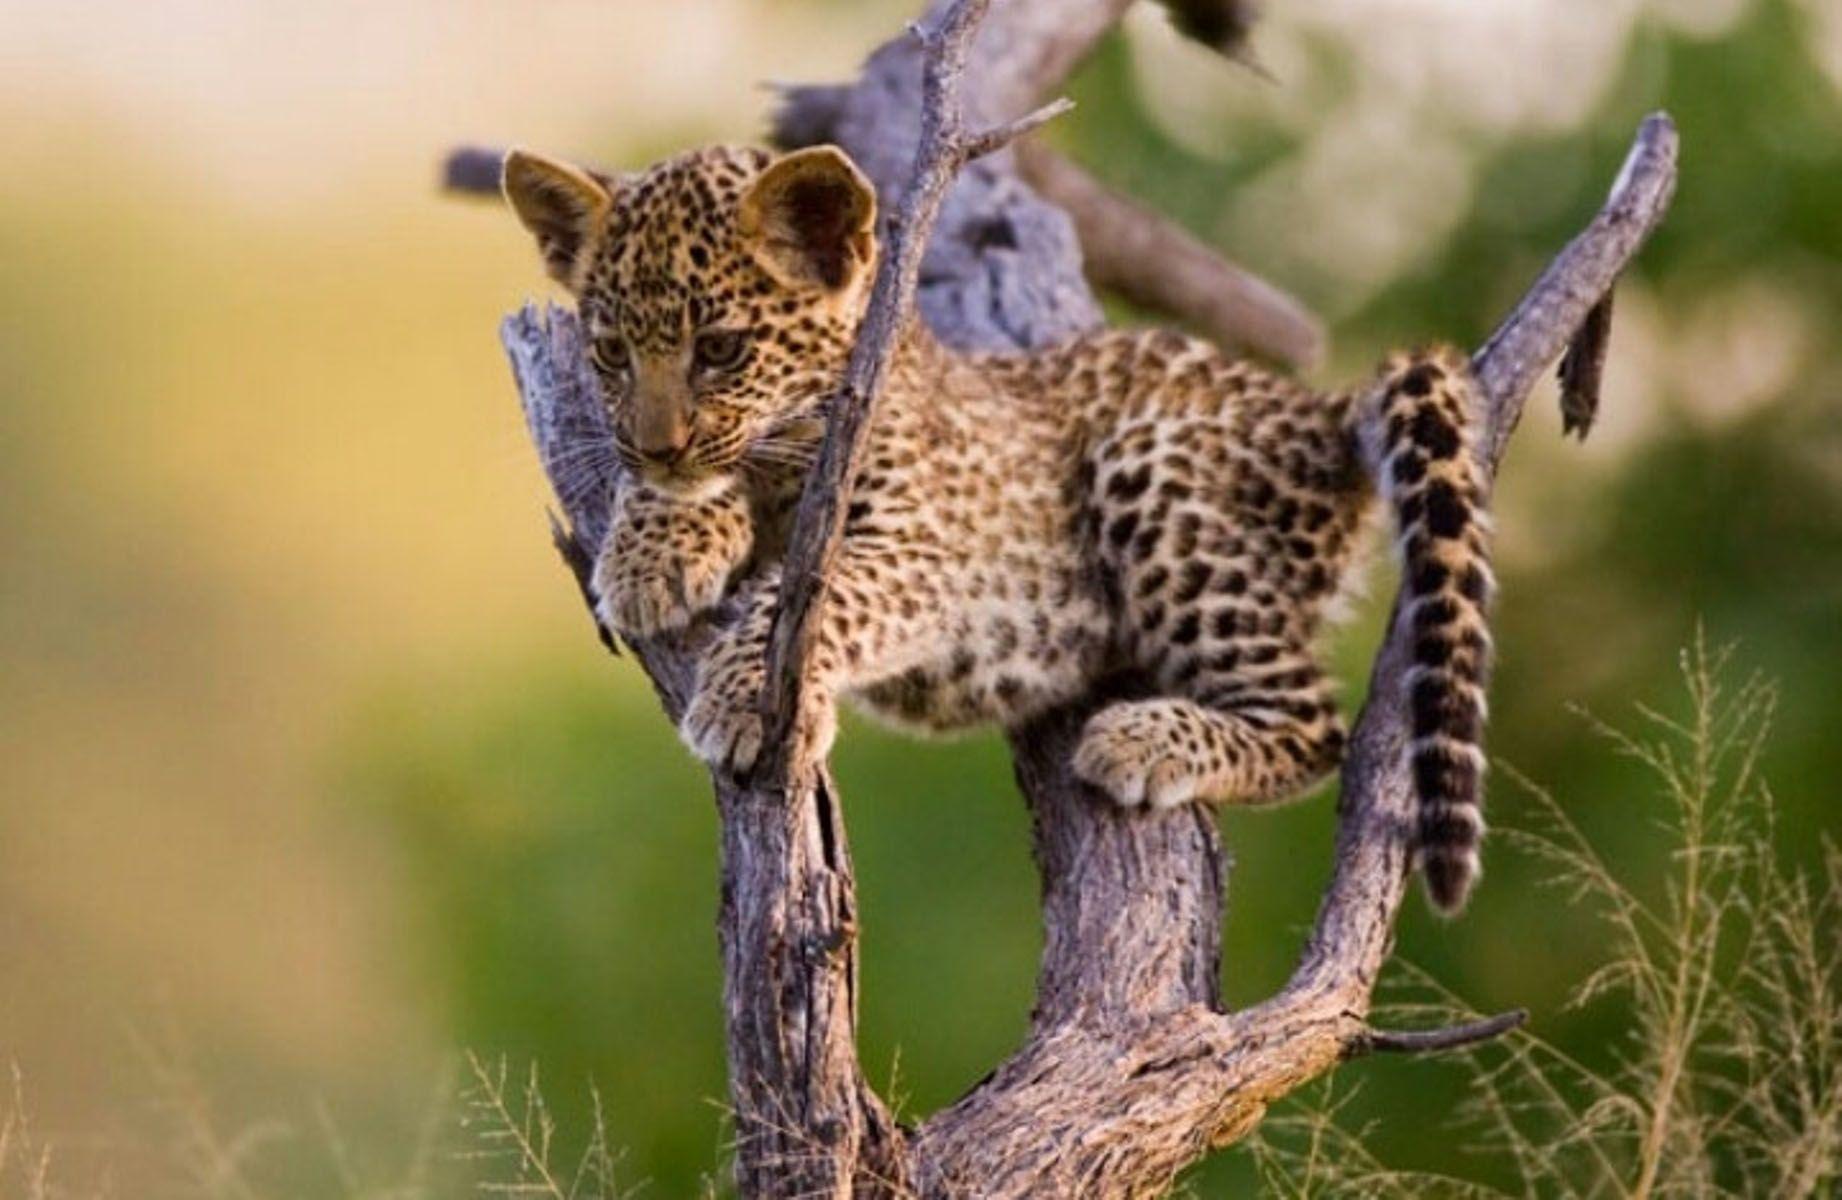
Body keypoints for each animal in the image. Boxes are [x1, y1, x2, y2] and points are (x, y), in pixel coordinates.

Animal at [501, 142, 1496, 911]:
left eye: (720, 350)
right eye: (609, 353)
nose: (655, 445)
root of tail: (1319, 407)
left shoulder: (922, 546)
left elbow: (814, 595)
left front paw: (745, 698)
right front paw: (652, 550)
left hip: (1147, 460)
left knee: (1313, 725)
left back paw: (1142, 739)